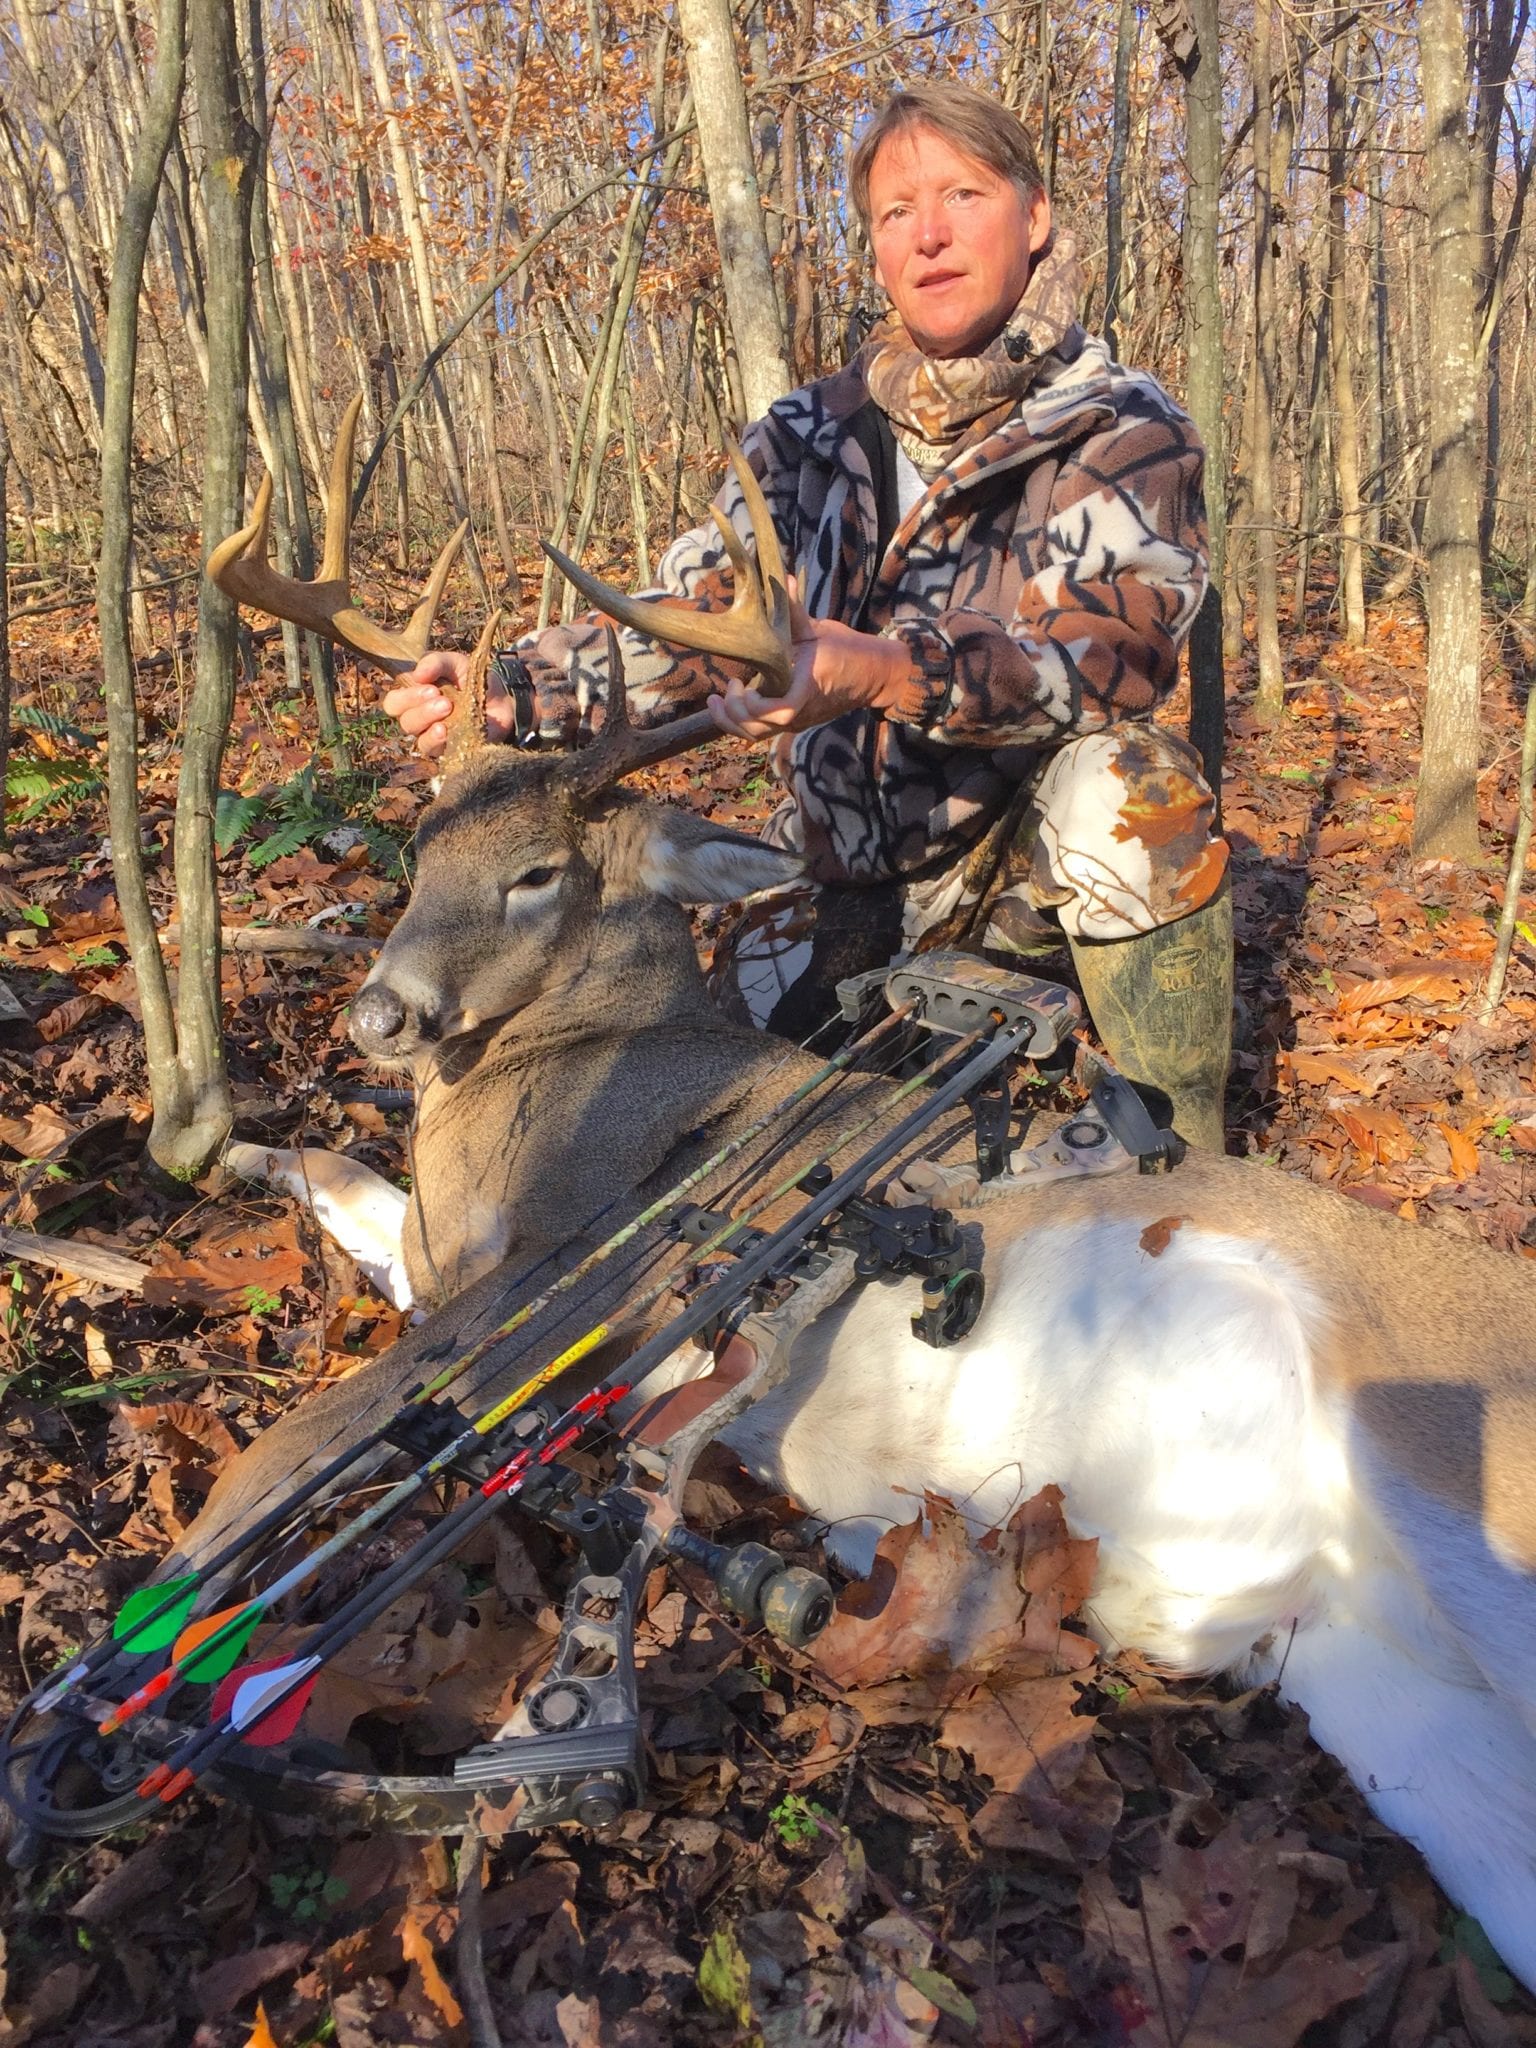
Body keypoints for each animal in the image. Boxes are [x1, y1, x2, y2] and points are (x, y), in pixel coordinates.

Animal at [192, 410, 1536, 1992]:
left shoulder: (534, 1289)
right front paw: (232, 1153)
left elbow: (261, 1472)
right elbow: (344, 1185)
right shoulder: (449, 1252)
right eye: (419, 853)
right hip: (1388, 1694)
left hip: (1459, 1460)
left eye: (535, 876)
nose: (378, 1017)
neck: (573, 1060)